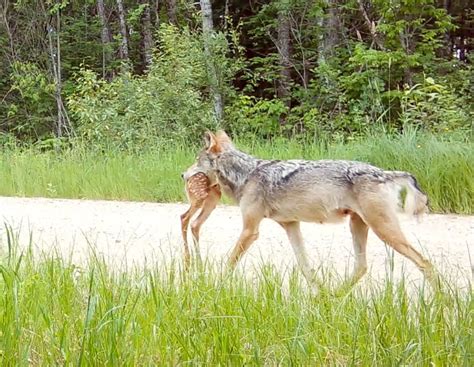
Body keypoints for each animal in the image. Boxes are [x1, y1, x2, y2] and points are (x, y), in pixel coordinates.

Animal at [192, 131, 434, 288]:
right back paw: (335, 296)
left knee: (425, 262)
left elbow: (229, 262)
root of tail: (384, 172)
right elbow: (305, 266)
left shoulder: (250, 231)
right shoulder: (291, 225)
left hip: (384, 231)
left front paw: (215, 285)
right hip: (359, 227)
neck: (247, 174)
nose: (184, 174)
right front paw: (318, 294)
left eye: (196, 160)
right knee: (362, 267)